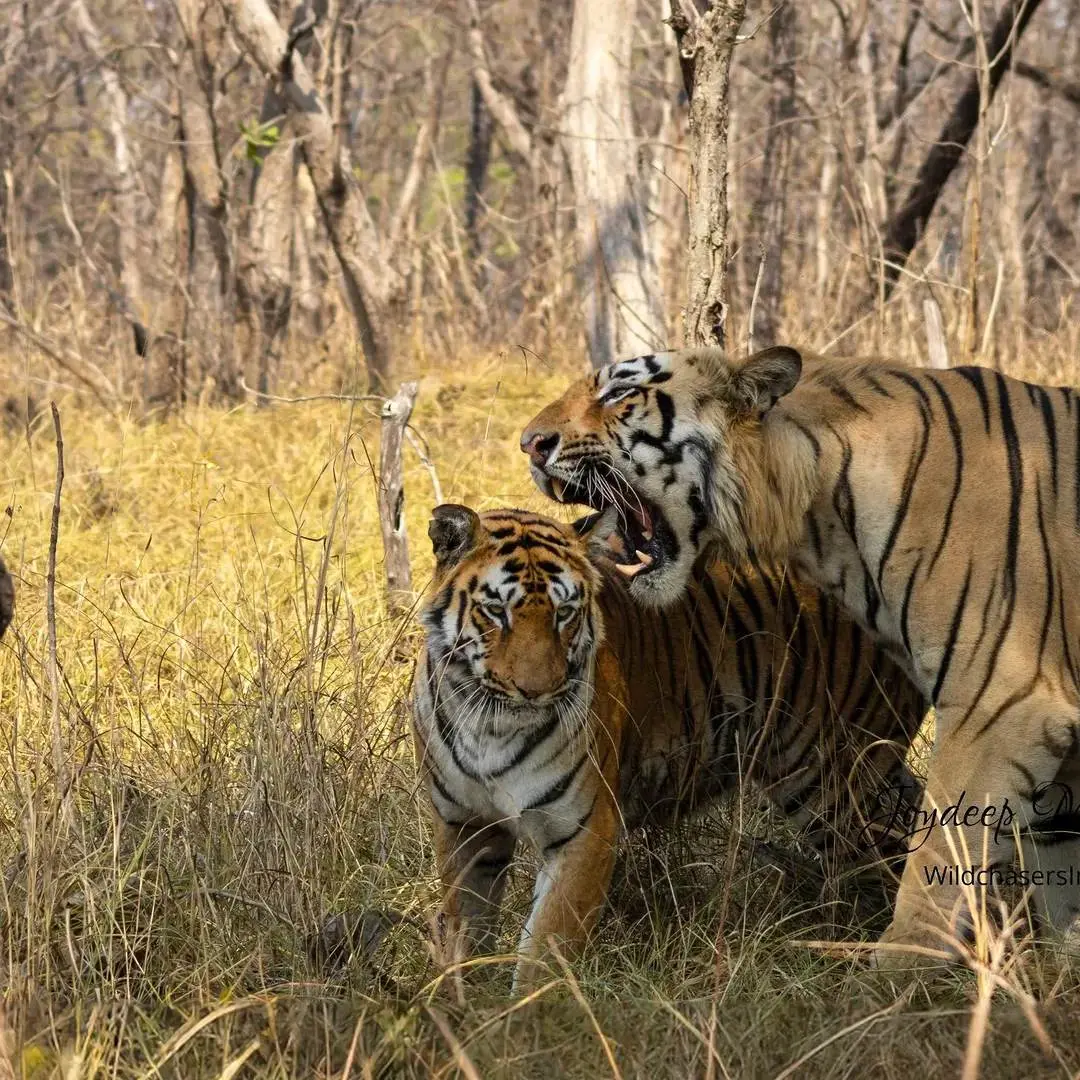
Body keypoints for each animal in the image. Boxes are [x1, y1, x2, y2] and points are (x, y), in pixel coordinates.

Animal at [408, 501, 924, 989]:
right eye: (497, 612)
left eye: (565, 613)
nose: (537, 691)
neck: (490, 727)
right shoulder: (465, 827)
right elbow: (464, 931)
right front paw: (464, 1002)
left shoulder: (584, 832)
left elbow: (544, 952)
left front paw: (520, 1015)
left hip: (832, 782)